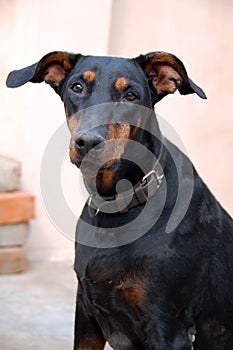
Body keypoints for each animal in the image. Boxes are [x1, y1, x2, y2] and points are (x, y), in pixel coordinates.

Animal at [6, 52, 233, 350]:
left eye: (130, 95)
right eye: (77, 87)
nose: (88, 142)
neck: (117, 204)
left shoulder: (168, 329)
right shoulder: (86, 315)